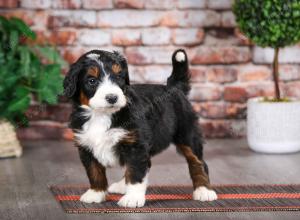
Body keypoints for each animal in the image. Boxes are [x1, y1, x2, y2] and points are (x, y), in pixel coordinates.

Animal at [63, 49, 218, 207]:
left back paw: (204, 190)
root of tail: (175, 88)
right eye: (92, 81)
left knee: (198, 162)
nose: (112, 97)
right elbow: (94, 171)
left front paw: (132, 198)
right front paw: (96, 193)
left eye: (118, 76)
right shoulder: (86, 145)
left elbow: (135, 173)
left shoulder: (135, 145)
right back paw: (121, 185)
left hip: (187, 133)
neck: (101, 115)